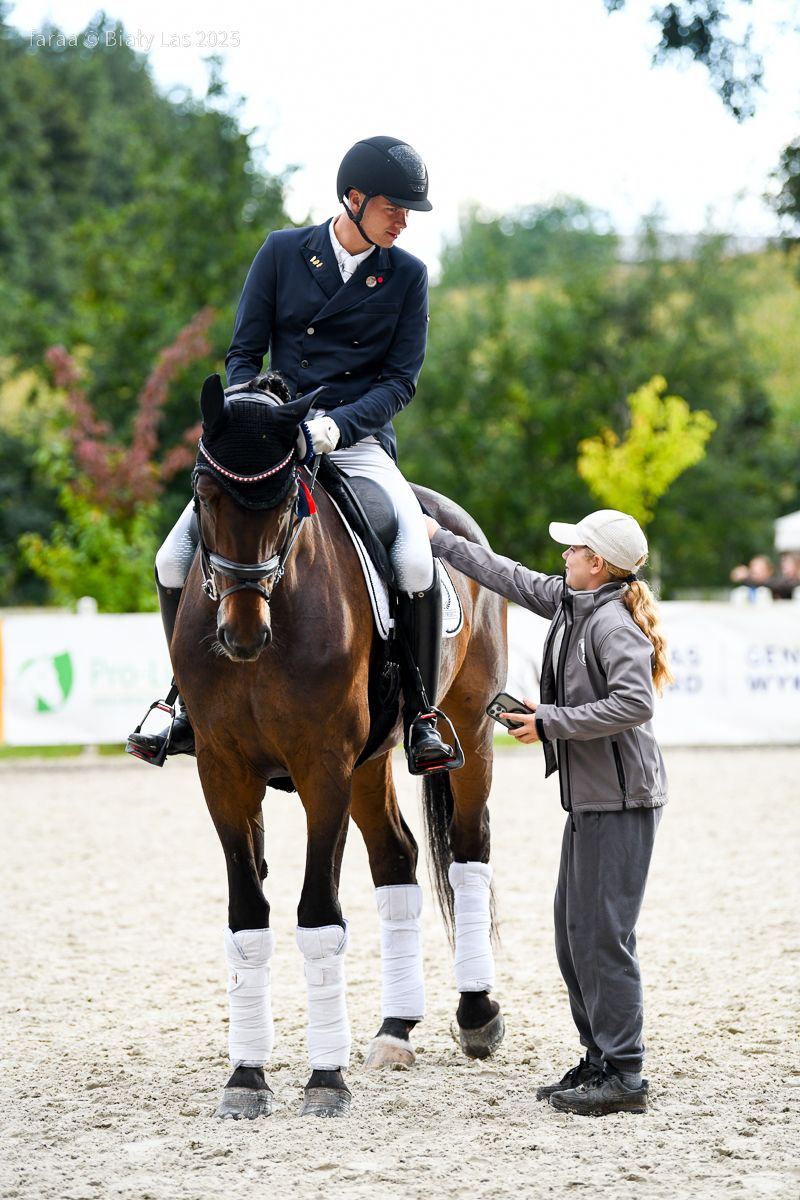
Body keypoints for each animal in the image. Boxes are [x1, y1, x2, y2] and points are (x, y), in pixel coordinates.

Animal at [170, 373, 507, 1118]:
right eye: (205, 495)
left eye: (286, 501)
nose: (240, 636)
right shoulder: (222, 772)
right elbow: (247, 917)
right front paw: (246, 1077)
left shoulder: (322, 768)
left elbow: (318, 916)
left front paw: (325, 1079)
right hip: (372, 761)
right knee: (399, 858)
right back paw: (395, 1030)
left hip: (468, 729)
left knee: (467, 853)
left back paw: (476, 1015)